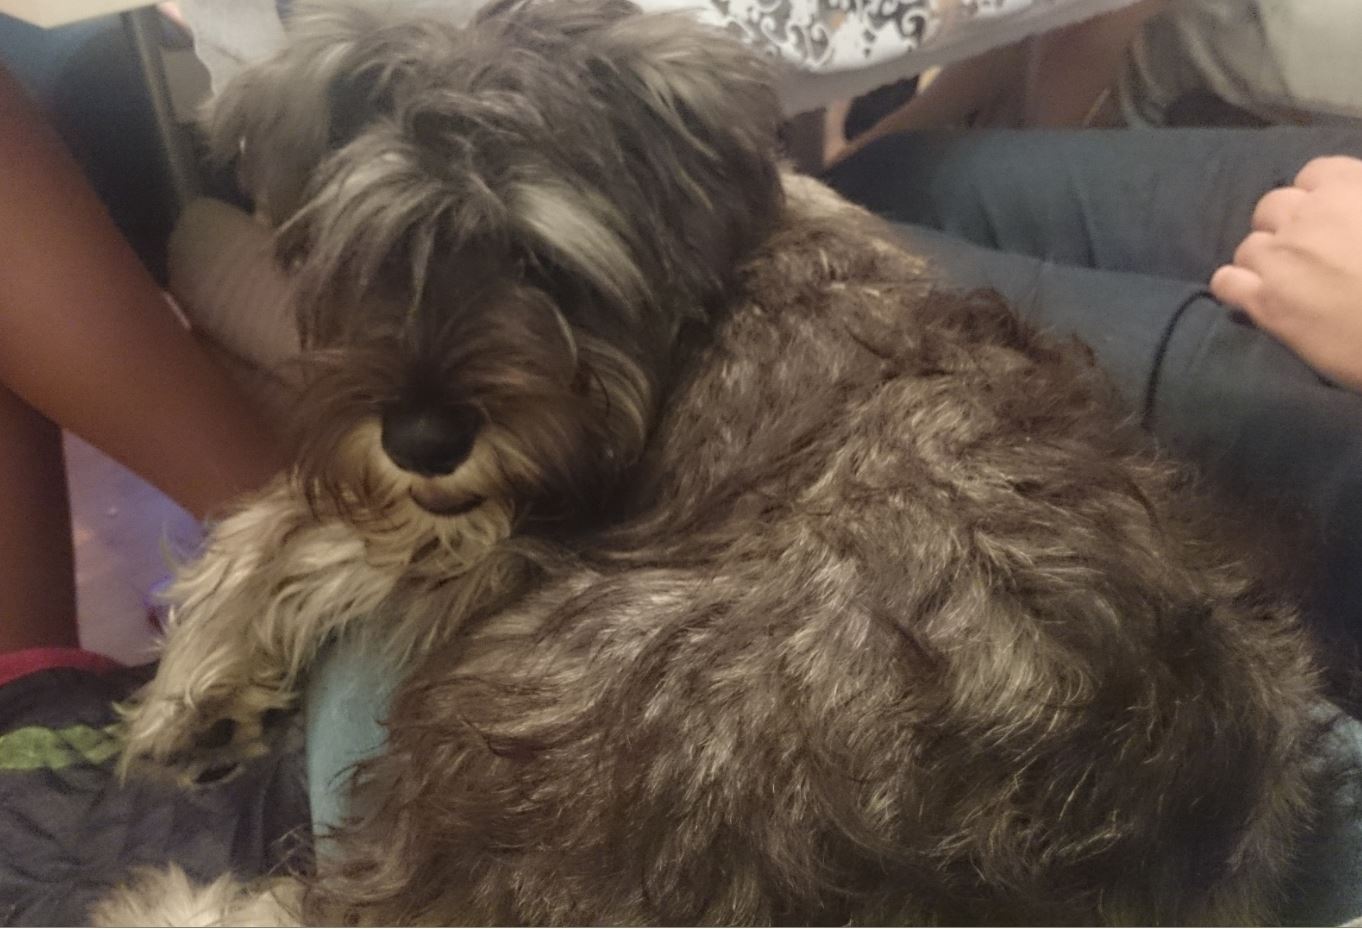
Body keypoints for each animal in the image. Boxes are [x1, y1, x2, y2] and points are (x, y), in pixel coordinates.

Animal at [102, 0, 1330, 923]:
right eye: (372, 247)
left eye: (546, 263)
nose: (422, 436)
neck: (705, 284)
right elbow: (297, 516)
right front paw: (198, 695)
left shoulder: (516, 517)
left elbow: (298, 524)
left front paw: (193, 673)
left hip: (502, 715)